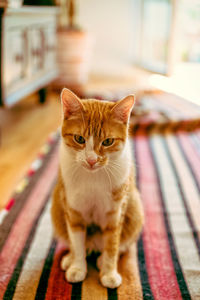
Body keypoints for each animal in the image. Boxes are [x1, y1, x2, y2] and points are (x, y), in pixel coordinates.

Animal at [50, 88, 143, 290]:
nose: (91, 160)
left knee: (120, 245)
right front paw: (77, 267)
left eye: (108, 141)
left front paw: (109, 273)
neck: (93, 179)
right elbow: (77, 243)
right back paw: (70, 259)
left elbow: (112, 246)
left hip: (135, 208)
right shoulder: (73, 211)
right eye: (79, 139)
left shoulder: (115, 214)